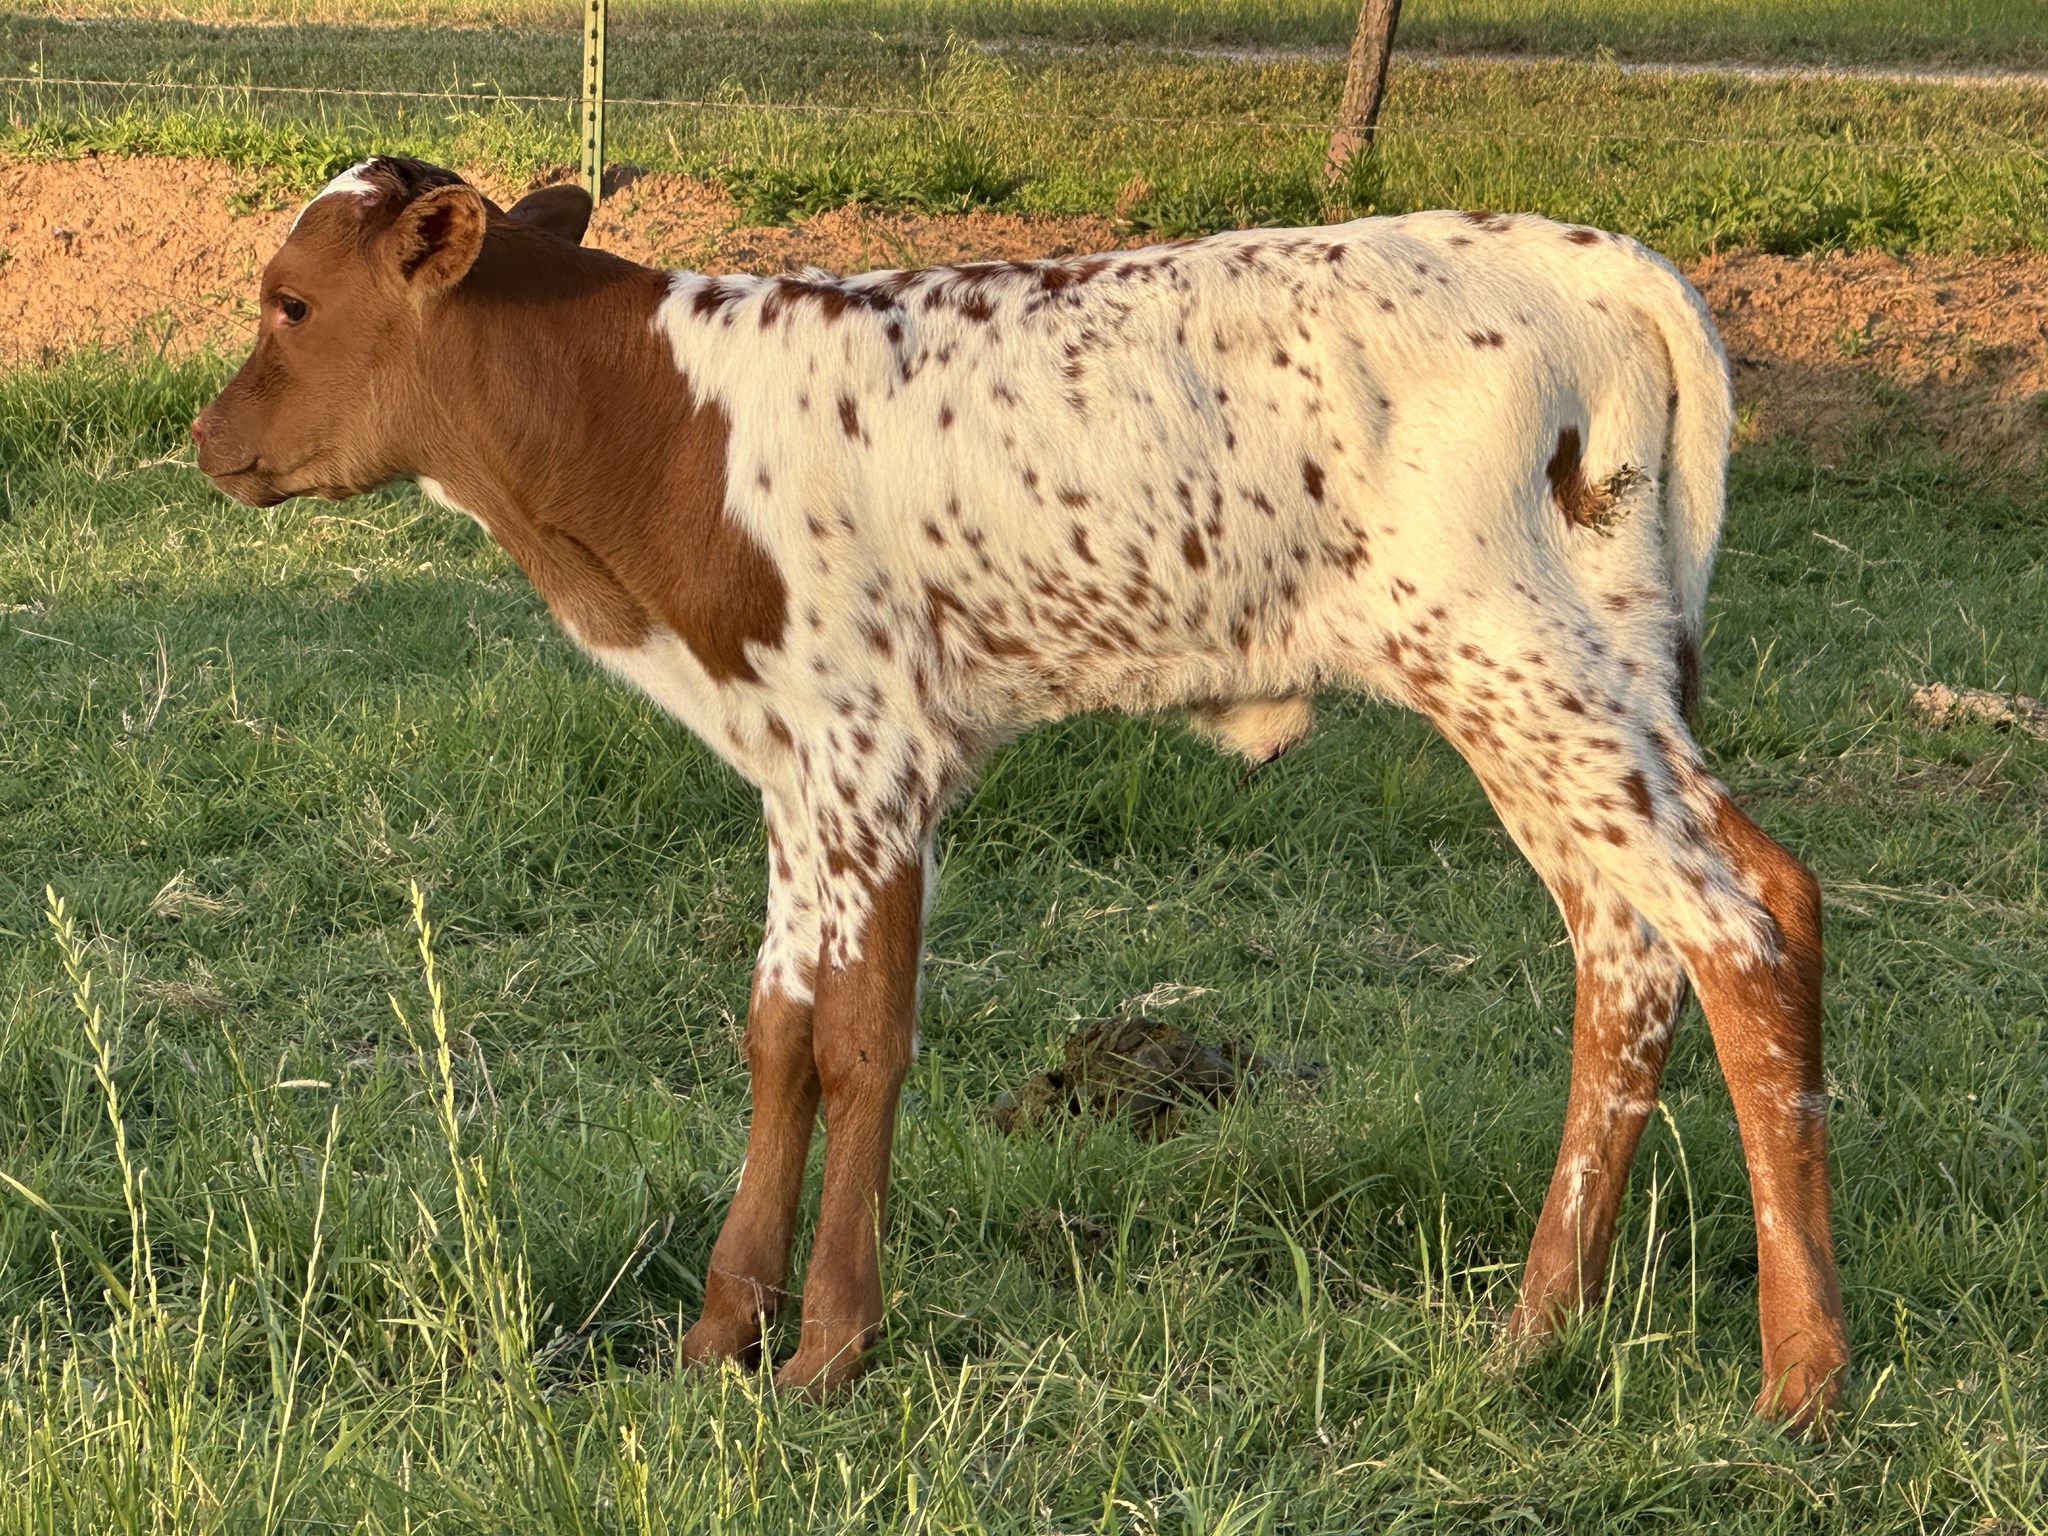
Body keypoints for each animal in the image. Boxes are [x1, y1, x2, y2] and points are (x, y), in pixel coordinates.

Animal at [192, 157, 1848, 1428]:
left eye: (291, 302)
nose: (208, 440)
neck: (661, 430)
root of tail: (1595, 261)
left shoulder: (872, 749)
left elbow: (860, 1040)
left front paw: (827, 1350)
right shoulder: (799, 769)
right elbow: (780, 1032)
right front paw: (718, 1335)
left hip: (1514, 656)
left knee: (1743, 924)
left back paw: (1802, 1379)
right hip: (1574, 671)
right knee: (1639, 945)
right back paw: (1534, 1333)